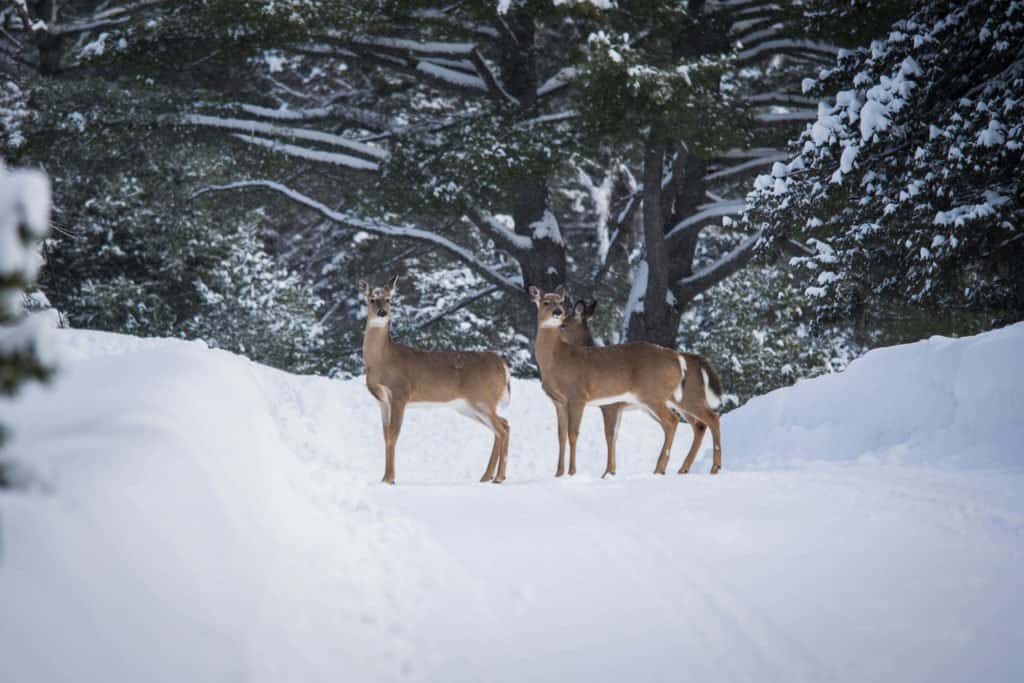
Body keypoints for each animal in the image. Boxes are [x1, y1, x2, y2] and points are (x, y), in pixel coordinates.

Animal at [360, 278, 512, 485]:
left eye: (389, 299)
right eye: (372, 299)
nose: (382, 312)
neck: (382, 361)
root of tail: (503, 365)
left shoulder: (401, 393)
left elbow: (393, 435)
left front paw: (390, 478)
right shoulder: (382, 400)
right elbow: (385, 436)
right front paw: (384, 478)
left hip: (483, 399)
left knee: (503, 428)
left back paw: (498, 477)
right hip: (469, 406)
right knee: (502, 425)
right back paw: (488, 476)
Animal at [532, 286, 724, 479]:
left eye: (564, 322)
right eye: (545, 302)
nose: (557, 313)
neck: (557, 360)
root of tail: (679, 358)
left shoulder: (584, 398)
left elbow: (585, 434)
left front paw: (577, 473)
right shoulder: (560, 402)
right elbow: (562, 435)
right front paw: (559, 473)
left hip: (659, 395)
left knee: (688, 420)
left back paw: (695, 467)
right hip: (666, 400)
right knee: (697, 424)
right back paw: (677, 468)